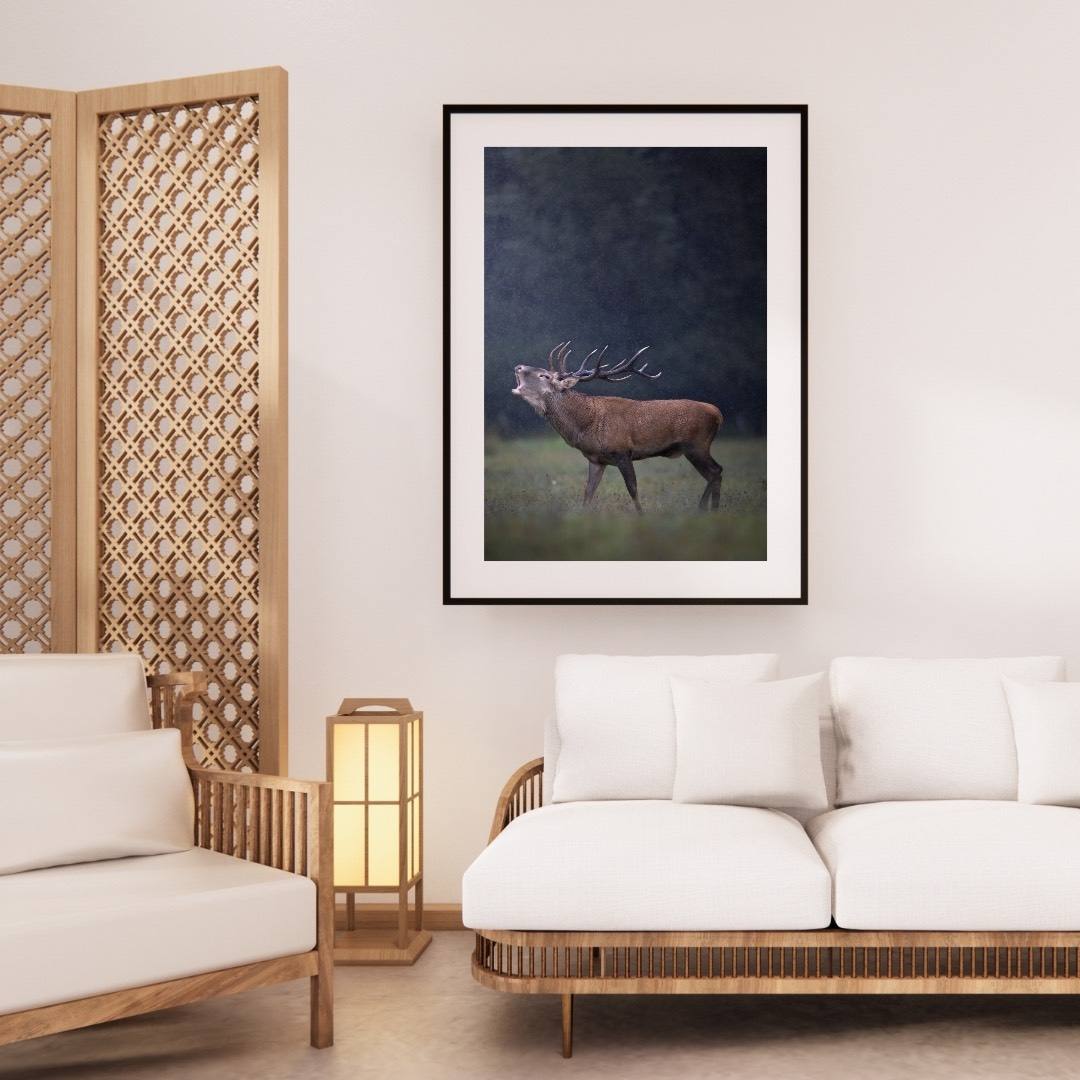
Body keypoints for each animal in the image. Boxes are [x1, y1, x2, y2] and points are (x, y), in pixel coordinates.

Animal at [511, 341, 724, 513]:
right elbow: (588, 492)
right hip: (696, 447)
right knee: (715, 473)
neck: (585, 425)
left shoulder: (622, 451)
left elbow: (633, 489)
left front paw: (641, 516)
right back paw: (712, 510)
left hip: (696, 445)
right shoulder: (596, 459)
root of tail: (717, 413)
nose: (518, 366)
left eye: (544, 376)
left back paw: (703, 508)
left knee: (715, 471)